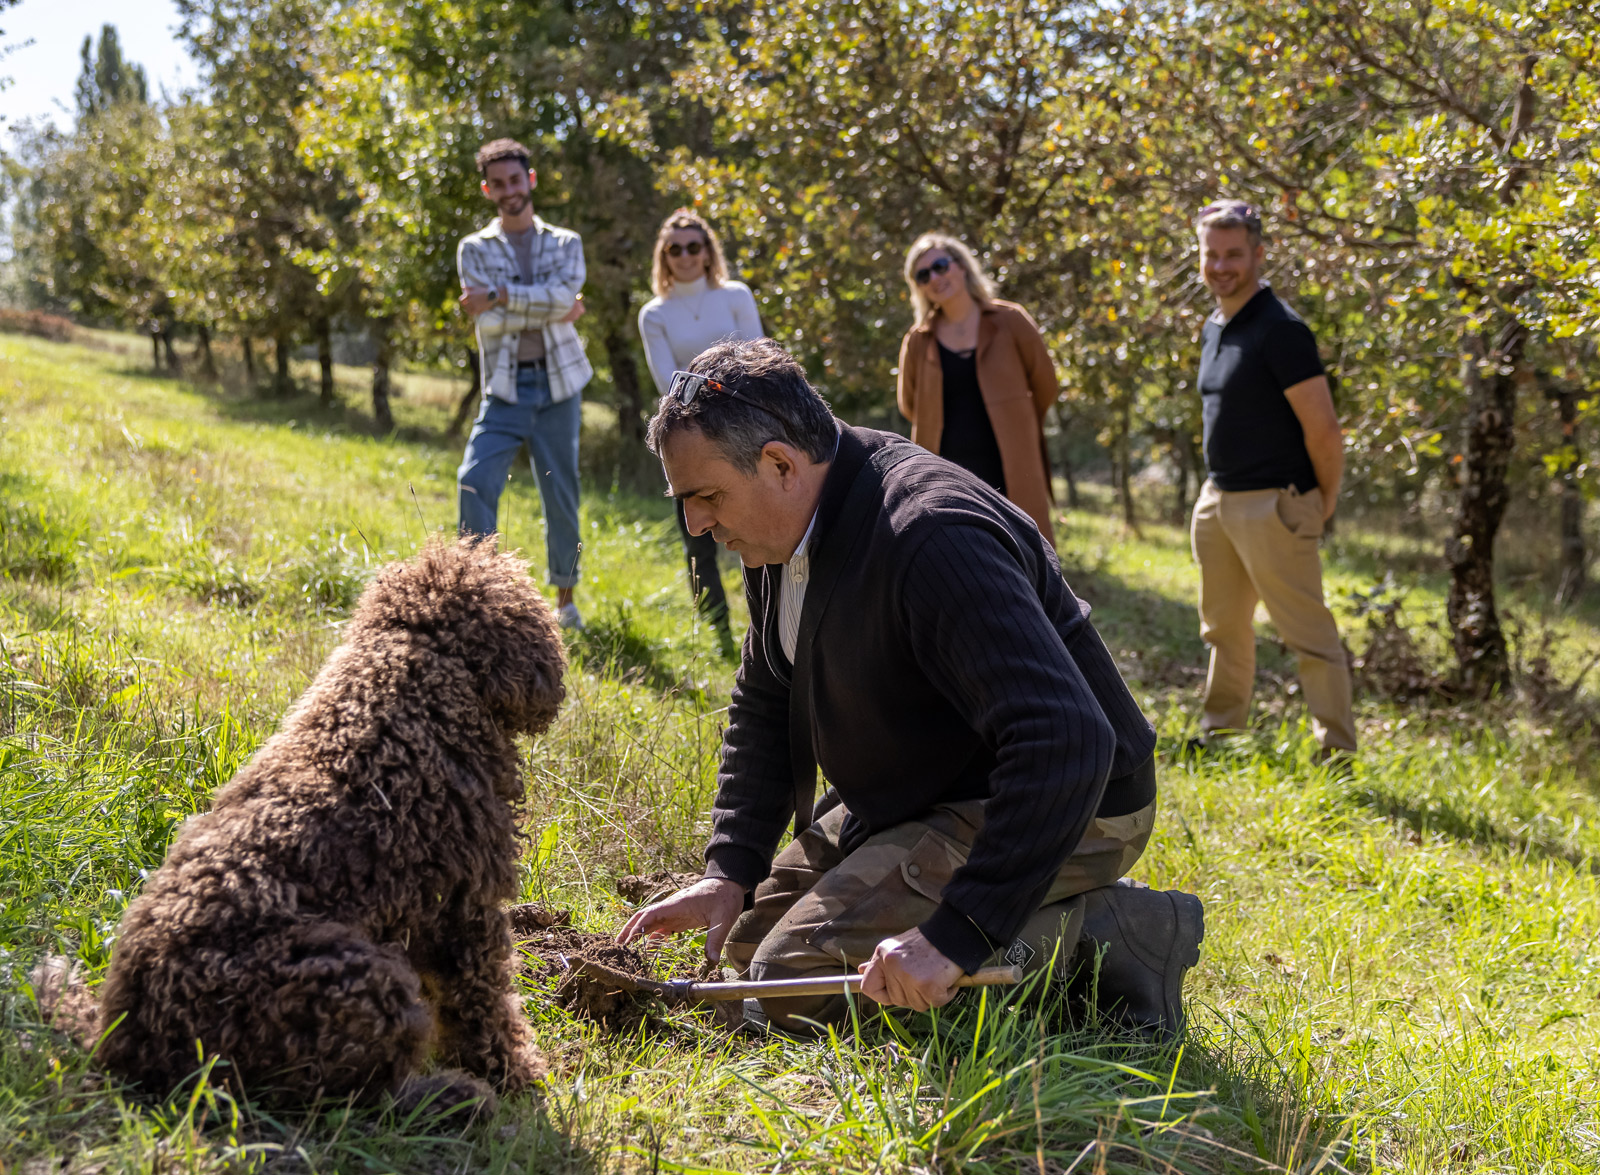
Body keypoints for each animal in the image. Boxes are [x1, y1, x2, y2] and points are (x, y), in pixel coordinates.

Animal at [95, 537, 569, 1107]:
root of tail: (132, 1042)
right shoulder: (464, 912)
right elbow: (486, 1011)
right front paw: (521, 1076)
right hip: (361, 978)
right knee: (364, 1098)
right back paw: (453, 1097)